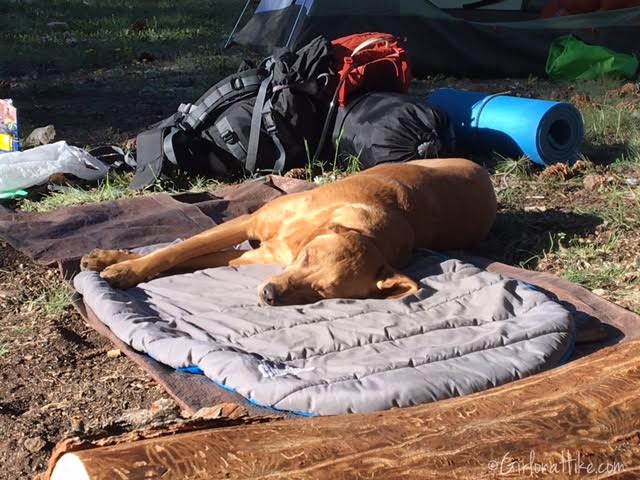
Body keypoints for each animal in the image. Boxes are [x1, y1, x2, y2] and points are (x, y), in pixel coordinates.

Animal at [81, 159, 500, 306]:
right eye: (308, 257)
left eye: (323, 292)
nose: (269, 294)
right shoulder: (248, 224)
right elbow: (176, 250)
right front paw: (120, 265)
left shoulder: (253, 255)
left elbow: (183, 257)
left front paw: (120, 265)